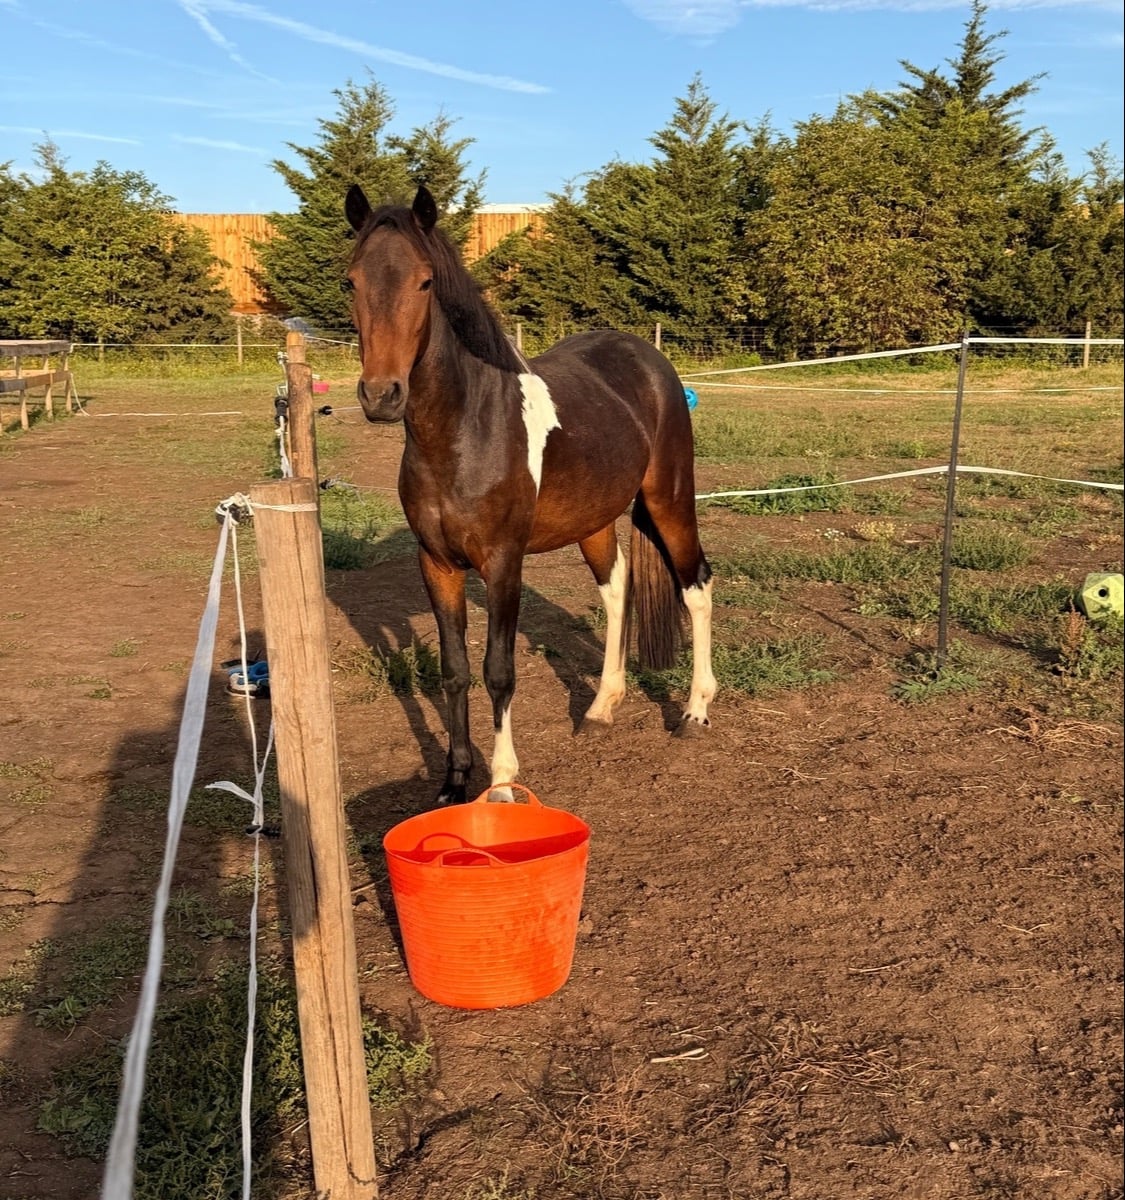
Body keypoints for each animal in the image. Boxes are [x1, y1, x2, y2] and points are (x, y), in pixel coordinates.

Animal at [344, 184, 716, 805]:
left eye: (425, 282)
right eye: (351, 280)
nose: (381, 395)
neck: (465, 431)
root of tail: (651, 361)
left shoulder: (502, 563)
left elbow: (498, 670)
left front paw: (500, 785)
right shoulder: (437, 564)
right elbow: (453, 670)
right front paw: (455, 781)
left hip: (670, 502)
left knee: (697, 587)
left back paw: (695, 713)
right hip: (595, 521)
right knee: (618, 590)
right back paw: (601, 708)